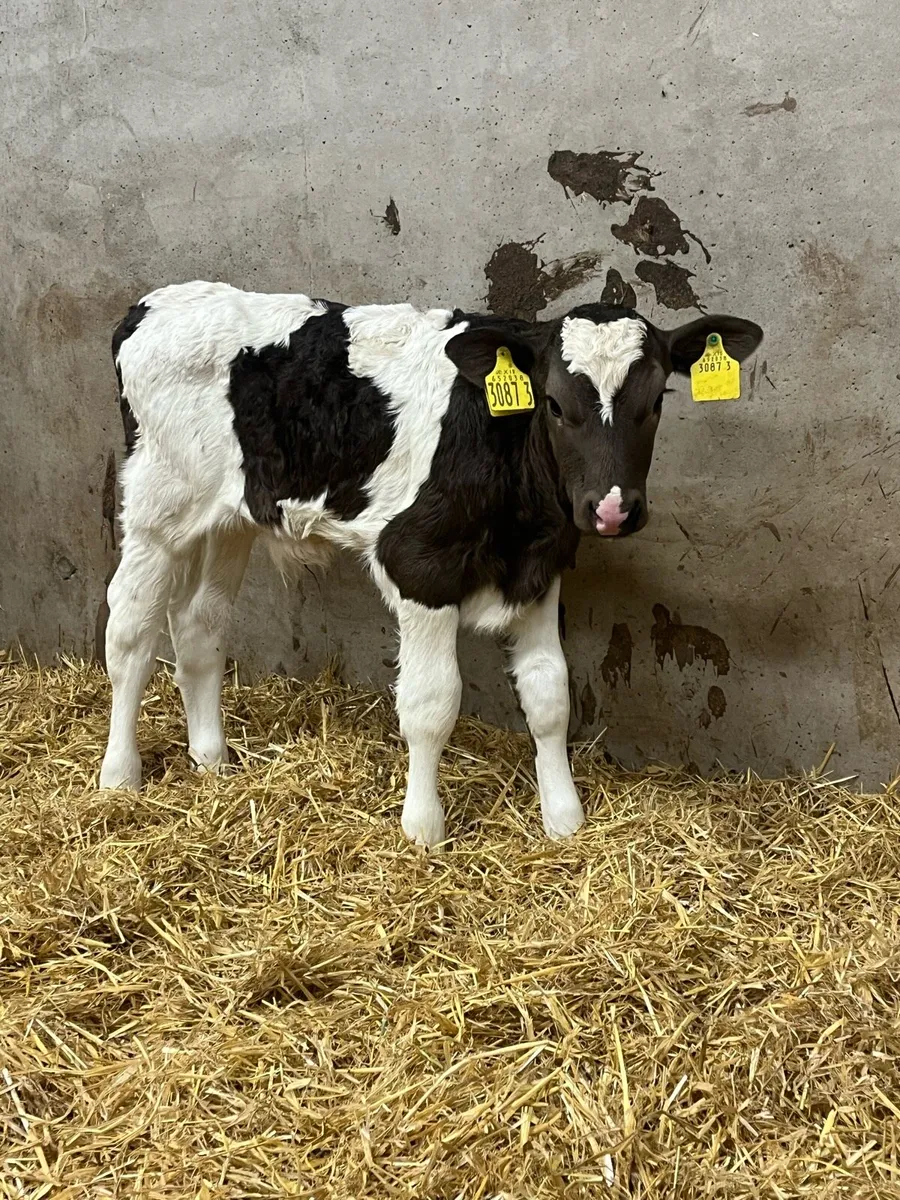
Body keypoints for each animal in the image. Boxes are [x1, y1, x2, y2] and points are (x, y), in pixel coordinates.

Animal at [99, 282, 762, 846]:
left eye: (655, 402)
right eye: (552, 404)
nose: (612, 509)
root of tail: (155, 302)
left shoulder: (541, 567)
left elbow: (550, 696)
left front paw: (563, 819)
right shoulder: (417, 564)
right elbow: (431, 704)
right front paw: (423, 829)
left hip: (229, 516)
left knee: (199, 624)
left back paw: (211, 759)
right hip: (155, 507)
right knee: (129, 634)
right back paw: (119, 774)